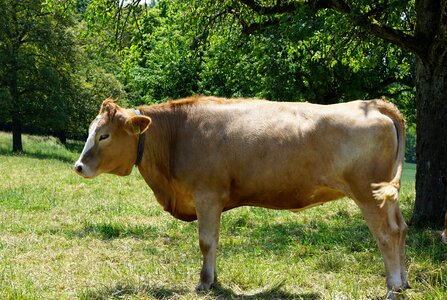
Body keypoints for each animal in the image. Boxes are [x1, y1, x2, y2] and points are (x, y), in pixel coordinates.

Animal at [73, 96, 410, 298]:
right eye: (90, 131)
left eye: (104, 135)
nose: (78, 166)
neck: (177, 135)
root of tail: (374, 103)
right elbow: (214, 241)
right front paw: (213, 279)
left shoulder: (207, 195)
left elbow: (206, 241)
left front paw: (204, 283)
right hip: (387, 196)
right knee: (400, 229)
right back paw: (404, 282)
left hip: (369, 193)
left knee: (385, 234)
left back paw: (393, 286)